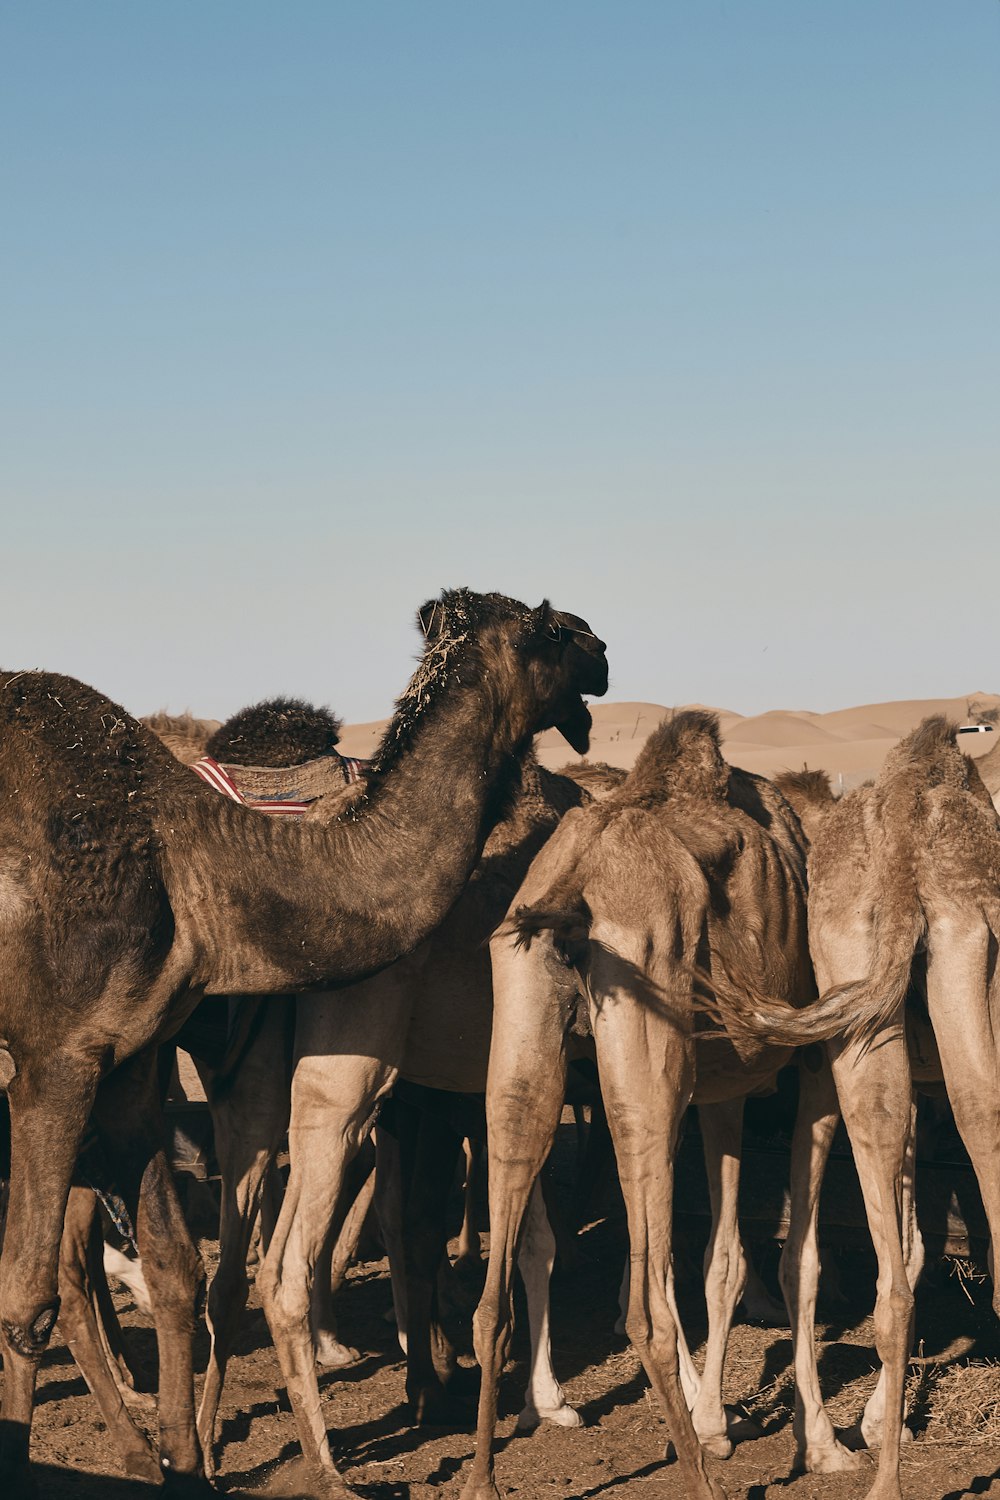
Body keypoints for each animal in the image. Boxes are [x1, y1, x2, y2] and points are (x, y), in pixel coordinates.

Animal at [0, 591, 611, 1494]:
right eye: (551, 628)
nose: (603, 650)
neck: (191, 858)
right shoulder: (54, 1063)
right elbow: (25, 1301)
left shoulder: (129, 1059)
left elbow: (176, 1271)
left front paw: (191, 1464)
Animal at [461, 711, 821, 1500]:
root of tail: (577, 882)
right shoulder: (782, 1075)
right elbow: (748, 1258)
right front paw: (735, 1429)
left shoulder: (719, 1091)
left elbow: (718, 1256)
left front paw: (715, 1417)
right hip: (648, 1019)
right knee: (646, 1311)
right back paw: (699, 1480)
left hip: (522, 1016)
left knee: (494, 1295)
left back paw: (482, 1478)